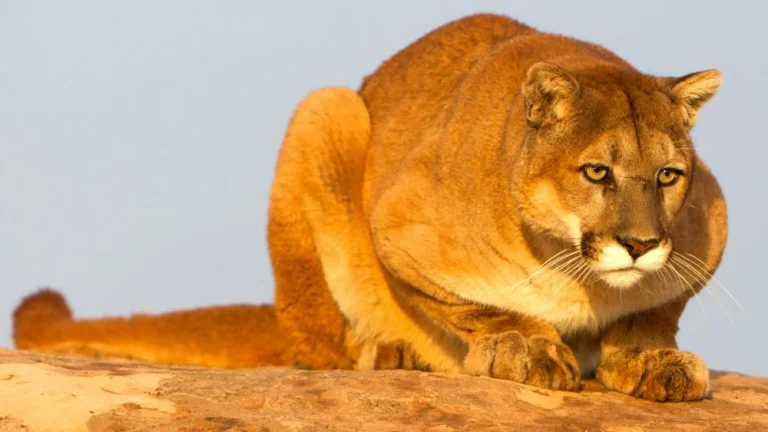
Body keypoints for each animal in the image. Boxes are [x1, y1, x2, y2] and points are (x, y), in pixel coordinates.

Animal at [14, 13, 727, 402]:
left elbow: (654, 310)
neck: (579, 280)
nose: (640, 244)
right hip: (325, 111)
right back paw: (384, 352)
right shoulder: (399, 228)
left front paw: (651, 358)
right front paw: (525, 343)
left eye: (668, 176)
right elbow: (475, 305)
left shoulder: (709, 225)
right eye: (597, 172)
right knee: (313, 344)